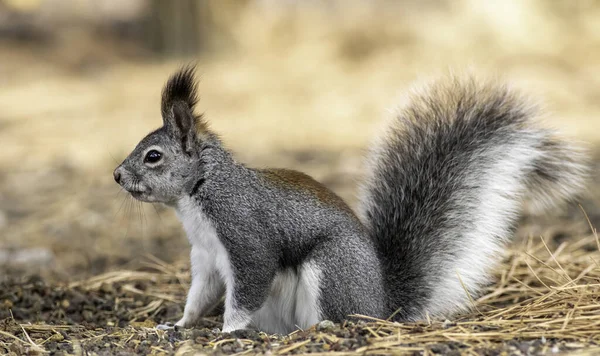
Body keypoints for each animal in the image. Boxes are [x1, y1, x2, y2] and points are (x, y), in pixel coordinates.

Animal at [112, 66, 584, 334]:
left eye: (153, 156)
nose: (116, 175)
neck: (199, 194)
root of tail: (383, 306)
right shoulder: (207, 257)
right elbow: (199, 295)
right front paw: (176, 325)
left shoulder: (245, 238)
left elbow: (245, 290)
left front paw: (227, 333)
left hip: (332, 269)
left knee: (341, 316)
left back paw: (319, 330)